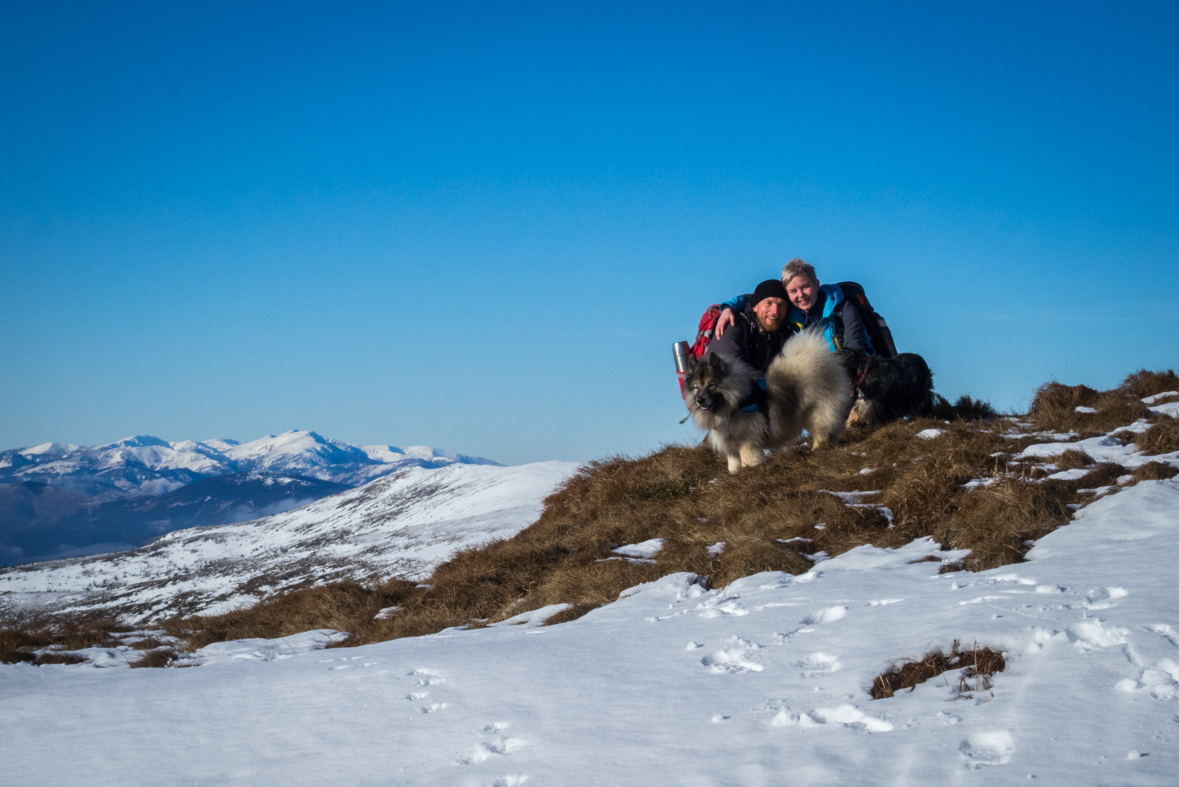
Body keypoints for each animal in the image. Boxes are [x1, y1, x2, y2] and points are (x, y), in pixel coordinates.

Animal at [683, 327, 858, 473]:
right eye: (696, 387)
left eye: (711, 385)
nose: (699, 399)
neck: (735, 403)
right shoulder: (732, 449)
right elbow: (733, 467)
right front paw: (735, 476)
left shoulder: (747, 443)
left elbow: (748, 461)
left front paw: (750, 472)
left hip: (815, 413)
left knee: (821, 433)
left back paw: (817, 450)